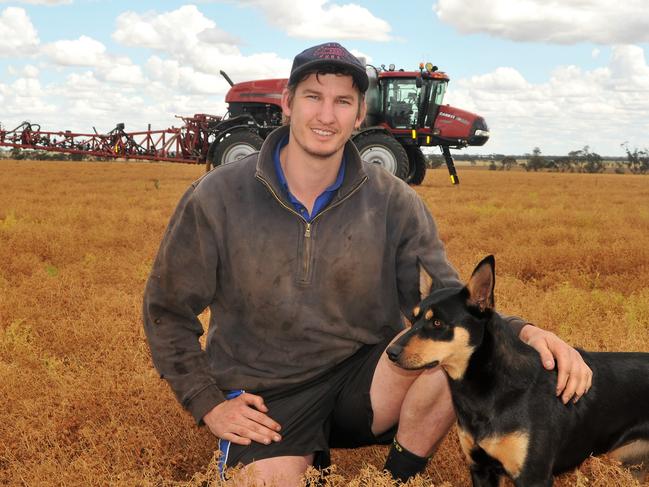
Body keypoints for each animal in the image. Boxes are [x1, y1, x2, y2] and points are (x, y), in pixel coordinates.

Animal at [388, 258, 644, 486]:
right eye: (413, 319)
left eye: (438, 323)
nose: (390, 352)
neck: (488, 387)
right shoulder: (481, 469)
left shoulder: (533, 476)